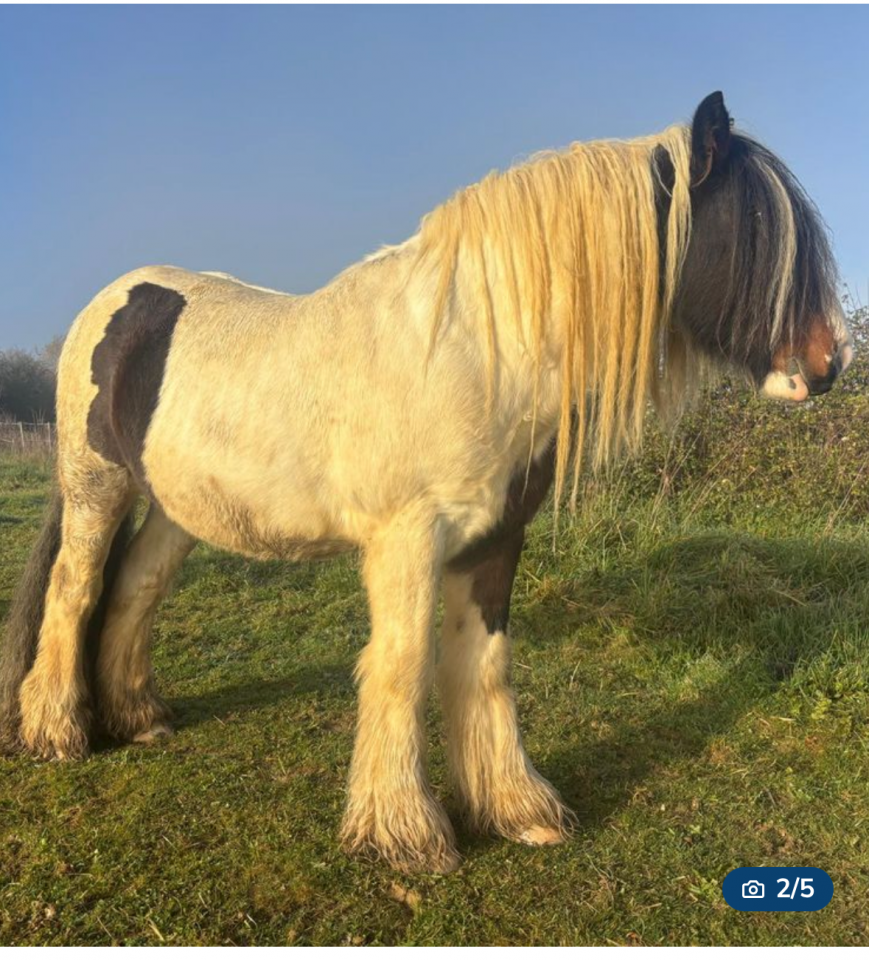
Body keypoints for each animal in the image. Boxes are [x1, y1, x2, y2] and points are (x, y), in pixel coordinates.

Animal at [0, 92, 852, 874]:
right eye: (751, 225)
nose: (829, 364)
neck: (474, 348)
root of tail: (122, 298)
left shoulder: (495, 538)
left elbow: (483, 663)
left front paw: (516, 810)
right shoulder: (406, 539)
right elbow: (402, 666)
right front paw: (404, 833)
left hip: (181, 509)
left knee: (135, 589)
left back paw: (137, 716)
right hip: (97, 484)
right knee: (75, 591)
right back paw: (58, 732)